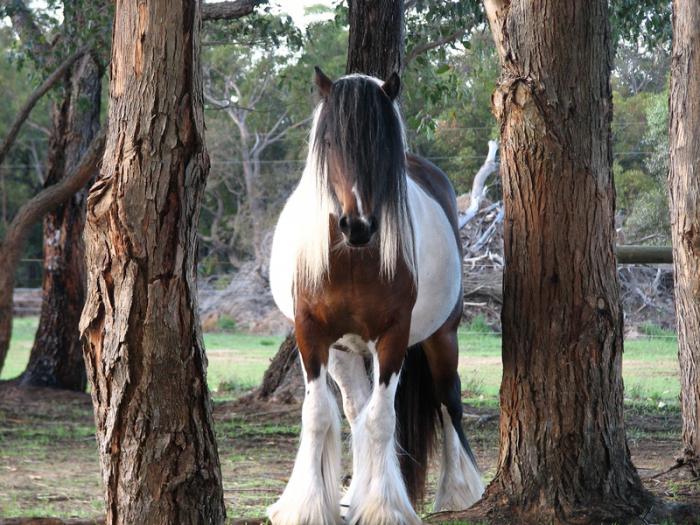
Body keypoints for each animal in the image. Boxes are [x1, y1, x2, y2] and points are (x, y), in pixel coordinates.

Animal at [266, 67, 484, 520]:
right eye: (330, 142)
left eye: (383, 145)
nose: (358, 225)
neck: (352, 260)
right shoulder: (311, 334)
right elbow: (318, 414)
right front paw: (307, 507)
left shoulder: (393, 336)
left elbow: (383, 419)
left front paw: (384, 509)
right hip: (344, 351)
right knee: (356, 409)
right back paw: (354, 493)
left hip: (443, 336)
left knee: (448, 400)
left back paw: (458, 492)